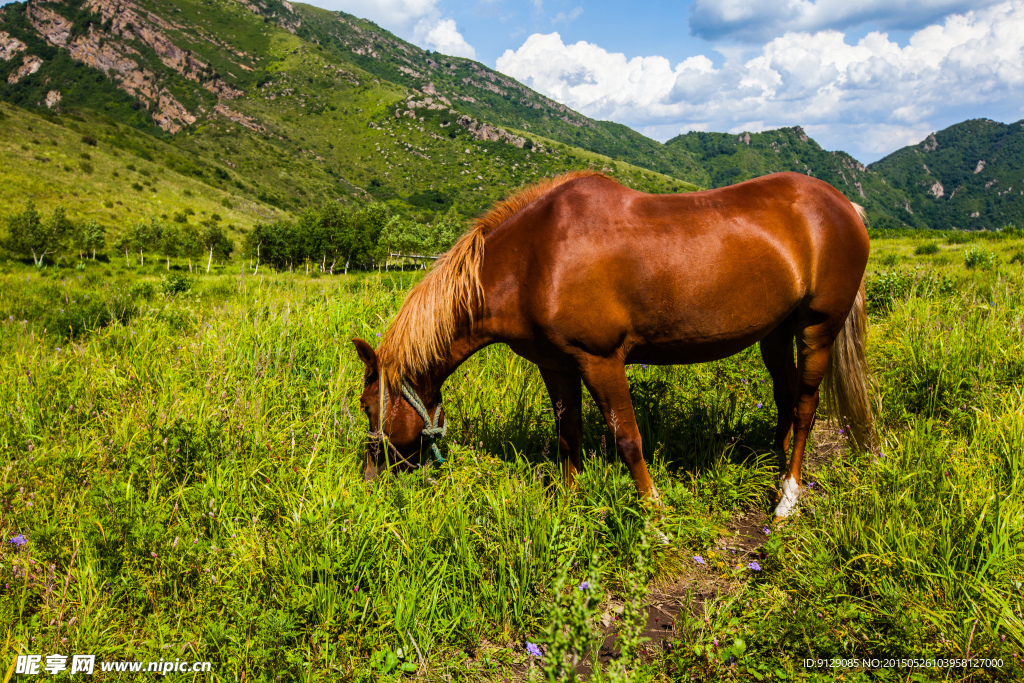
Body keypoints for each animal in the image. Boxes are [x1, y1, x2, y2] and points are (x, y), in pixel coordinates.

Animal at [352, 171, 872, 518]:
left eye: (367, 406)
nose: (369, 479)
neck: (533, 260)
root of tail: (845, 204)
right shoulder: (557, 366)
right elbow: (569, 435)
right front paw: (570, 505)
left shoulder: (601, 361)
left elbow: (628, 440)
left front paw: (654, 515)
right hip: (776, 333)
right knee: (785, 397)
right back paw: (776, 470)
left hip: (816, 329)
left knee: (804, 406)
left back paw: (788, 496)